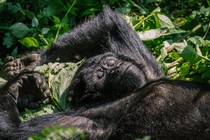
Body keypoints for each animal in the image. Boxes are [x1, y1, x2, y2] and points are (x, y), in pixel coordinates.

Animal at [0, 6, 210, 139]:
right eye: (100, 76)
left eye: (109, 62)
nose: (113, 68)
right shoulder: (83, 121)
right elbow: (15, 134)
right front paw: (18, 87)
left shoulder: (148, 70)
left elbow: (110, 24)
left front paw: (32, 62)